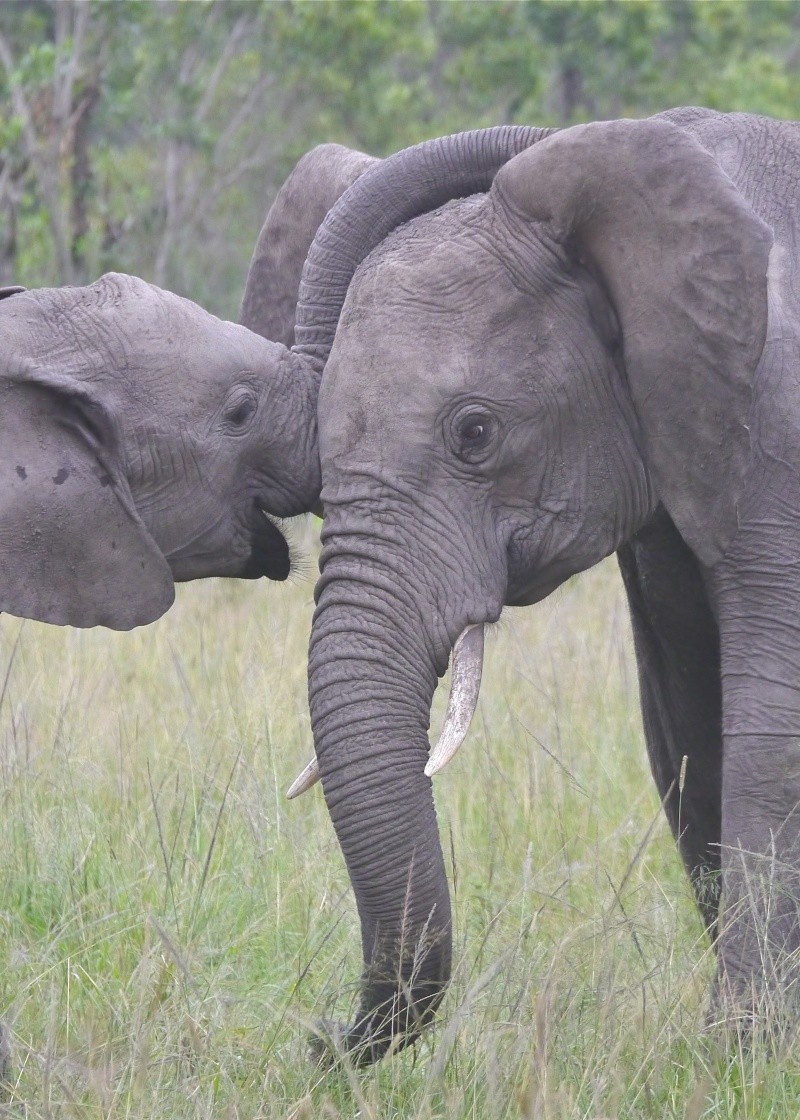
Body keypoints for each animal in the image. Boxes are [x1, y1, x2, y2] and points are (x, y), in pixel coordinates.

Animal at [266, 109, 797, 1061]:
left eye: (475, 433)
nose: (319, 1034)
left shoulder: (777, 434)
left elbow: (772, 733)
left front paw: (744, 1054)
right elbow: (689, 732)